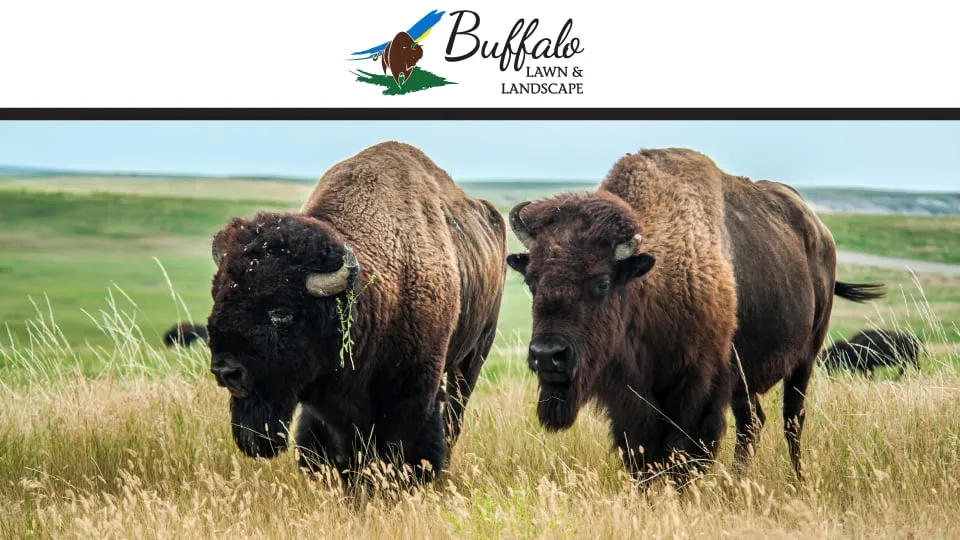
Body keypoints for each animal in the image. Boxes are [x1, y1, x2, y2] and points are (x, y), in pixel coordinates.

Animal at [205, 141, 507, 485]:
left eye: (281, 312)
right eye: (218, 297)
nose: (227, 371)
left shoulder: (414, 390)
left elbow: (405, 446)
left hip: (473, 355)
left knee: (455, 415)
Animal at [506, 148, 885, 485]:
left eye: (602, 282)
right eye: (531, 280)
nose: (548, 355)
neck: (650, 279)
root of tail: (819, 231)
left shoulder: (699, 391)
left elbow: (685, 458)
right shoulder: (630, 400)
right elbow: (641, 458)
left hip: (805, 357)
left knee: (792, 419)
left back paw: (797, 481)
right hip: (744, 379)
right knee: (753, 422)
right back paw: (737, 483)